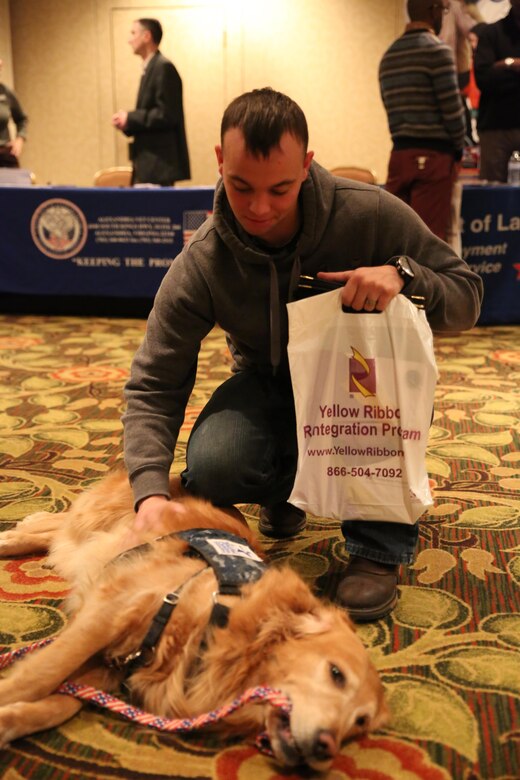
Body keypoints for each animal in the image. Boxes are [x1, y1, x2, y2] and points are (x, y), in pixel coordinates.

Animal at [0, 470, 388, 772]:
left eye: (359, 723)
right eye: (336, 674)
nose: (327, 747)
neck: (220, 622)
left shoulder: (117, 663)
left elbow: (63, 702)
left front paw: (11, 720)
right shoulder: (108, 612)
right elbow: (40, 675)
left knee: (51, 533)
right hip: (96, 519)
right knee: (57, 524)